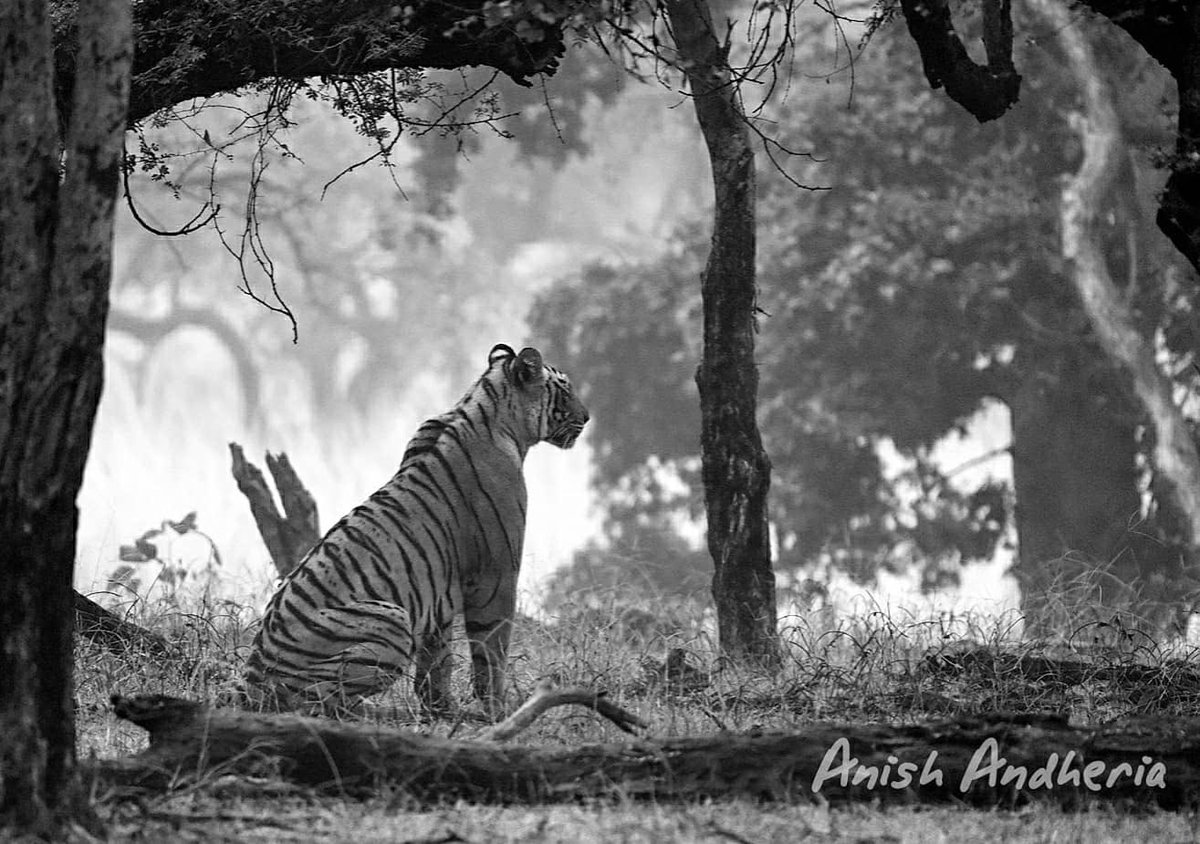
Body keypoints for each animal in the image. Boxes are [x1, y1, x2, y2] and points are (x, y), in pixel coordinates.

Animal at [242, 343, 588, 715]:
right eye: (565, 388)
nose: (587, 417)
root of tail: (251, 682)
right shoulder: (496, 575)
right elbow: (491, 650)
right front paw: (498, 709)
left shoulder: (438, 595)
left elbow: (437, 661)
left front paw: (442, 708)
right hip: (392, 620)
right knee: (316, 701)